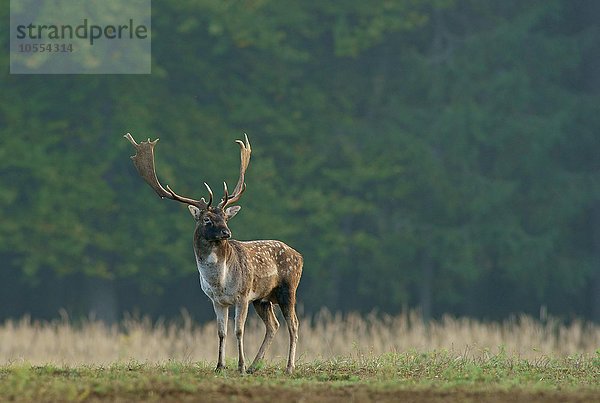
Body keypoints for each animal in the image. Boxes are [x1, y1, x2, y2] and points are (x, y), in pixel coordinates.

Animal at [125, 133, 304, 376]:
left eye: (226, 217)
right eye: (207, 219)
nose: (227, 233)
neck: (219, 281)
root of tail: (300, 256)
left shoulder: (242, 295)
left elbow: (239, 331)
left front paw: (240, 366)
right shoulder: (216, 300)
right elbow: (222, 332)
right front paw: (220, 366)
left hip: (288, 288)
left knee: (293, 324)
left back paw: (288, 367)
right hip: (263, 299)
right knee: (273, 325)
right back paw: (255, 365)